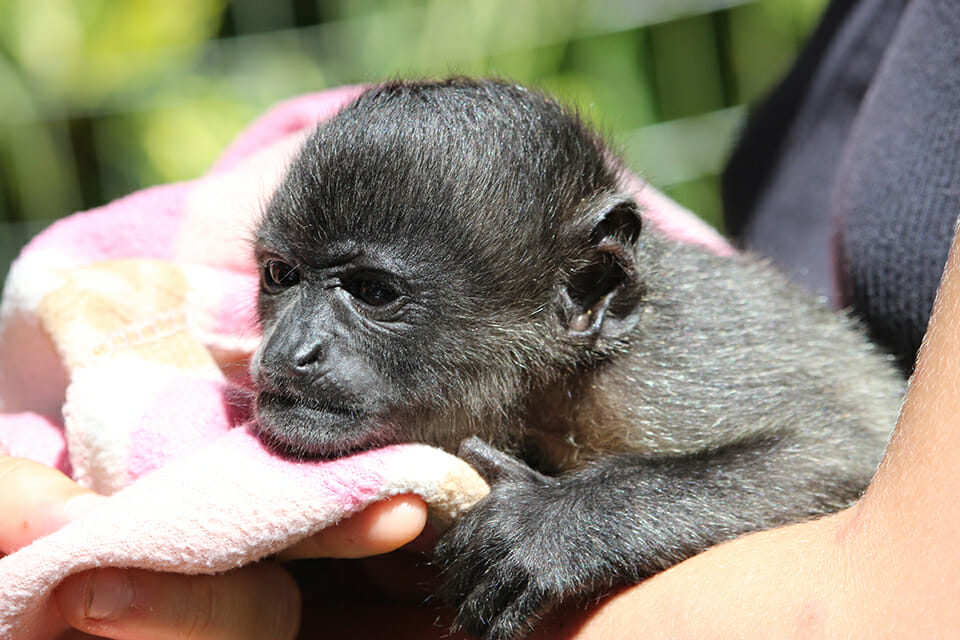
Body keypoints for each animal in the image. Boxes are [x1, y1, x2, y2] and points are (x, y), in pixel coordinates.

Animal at [251, 78, 904, 640]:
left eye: (373, 292)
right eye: (280, 275)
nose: (286, 350)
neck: (549, 383)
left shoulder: (654, 379)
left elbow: (836, 451)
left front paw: (551, 526)